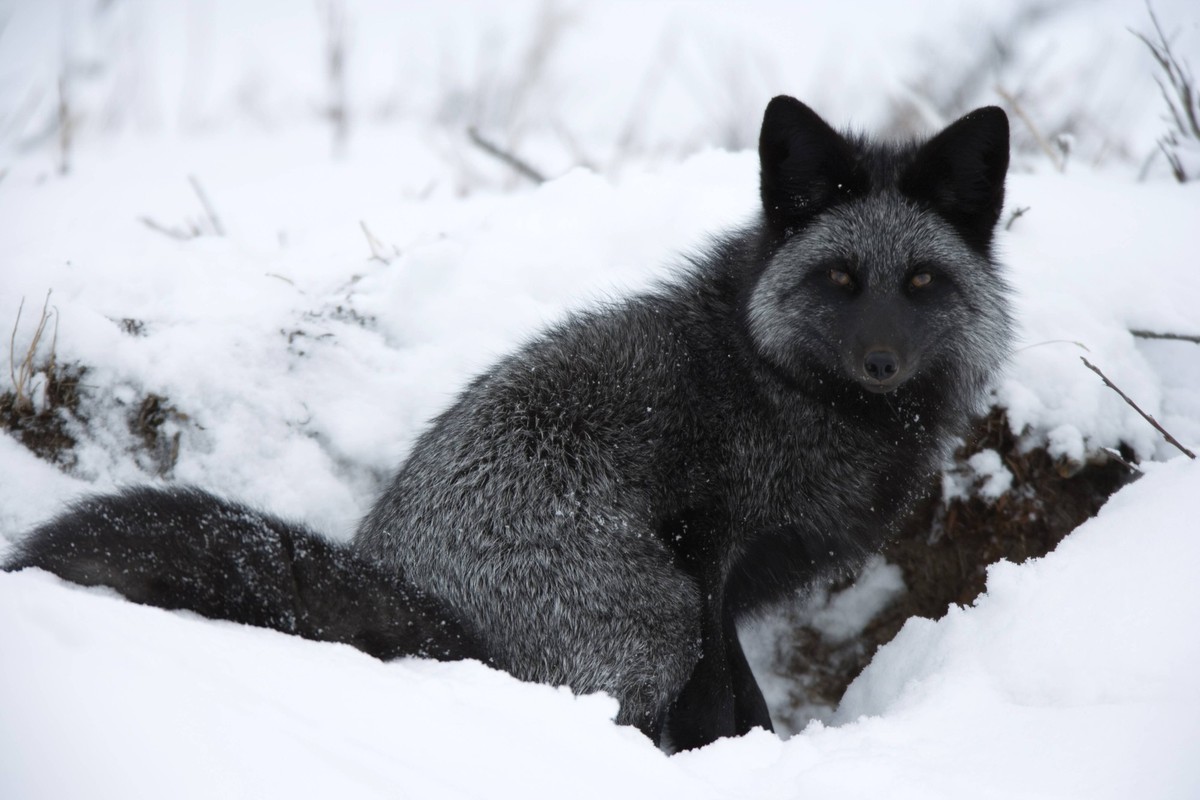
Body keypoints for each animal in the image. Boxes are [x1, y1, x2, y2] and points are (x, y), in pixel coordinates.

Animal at [4, 96, 1012, 751]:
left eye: (922, 281)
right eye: (839, 279)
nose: (881, 362)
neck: (778, 383)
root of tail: (438, 616)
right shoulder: (705, 552)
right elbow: (732, 700)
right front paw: (738, 761)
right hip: (654, 614)